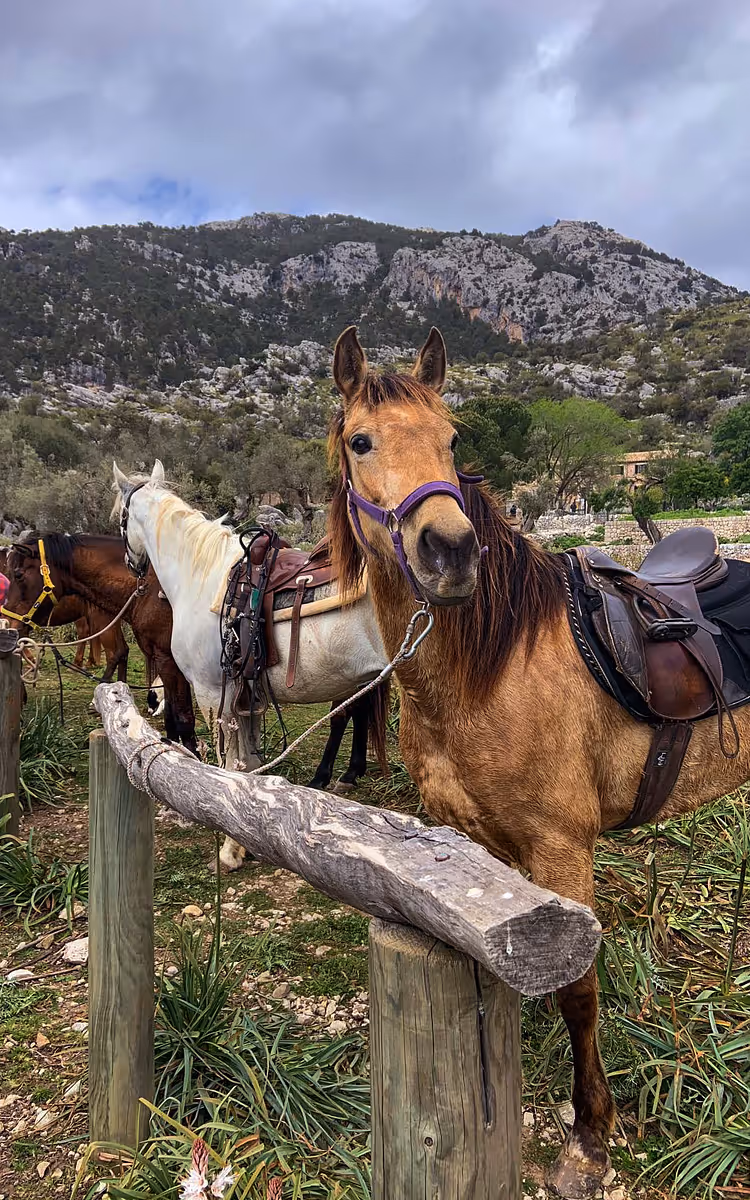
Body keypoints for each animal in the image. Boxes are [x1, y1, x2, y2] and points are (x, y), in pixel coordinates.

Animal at [3, 534, 197, 753]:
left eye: (18, 574)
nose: (7, 621)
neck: (151, 592)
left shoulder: (170, 662)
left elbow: (183, 721)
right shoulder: (166, 662)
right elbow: (172, 720)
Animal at [110, 463, 390, 870]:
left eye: (120, 518)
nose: (132, 565)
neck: (201, 576)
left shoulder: (214, 696)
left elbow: (228, 768)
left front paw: (229, 851)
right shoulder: (248, 695)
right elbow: (249, 761)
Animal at [326, 324, 750, 1200]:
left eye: (453, 438)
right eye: (361, 441)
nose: (451, 551)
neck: (488, 669)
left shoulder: (562, 850)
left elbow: (579, 993)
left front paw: (590, 1134)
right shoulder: (479, 848)